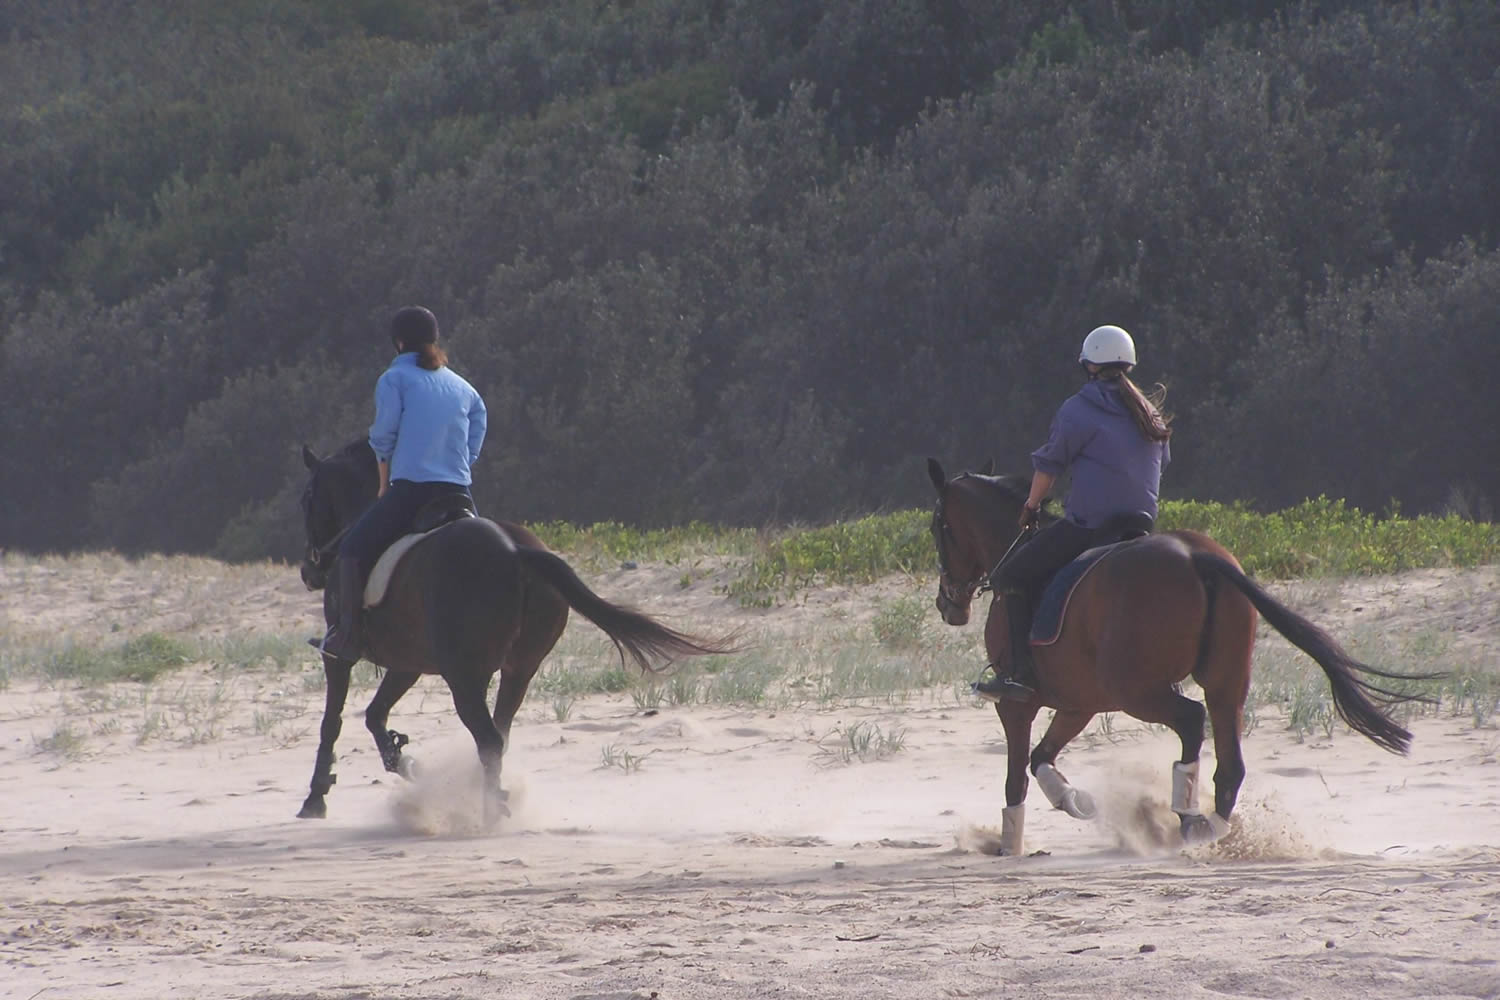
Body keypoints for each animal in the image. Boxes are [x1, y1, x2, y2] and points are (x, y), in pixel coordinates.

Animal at [295, 440, 735, 827]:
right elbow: (374, 715)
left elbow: (332, 722)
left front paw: (316, 798)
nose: (308, 571)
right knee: (497, 736)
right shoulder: (407, 664)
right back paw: (487, 802)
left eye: (307, 498)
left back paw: (491, 810)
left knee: (488, 737)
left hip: (464, 676)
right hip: (517, 670)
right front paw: (404, 761)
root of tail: (514, 550)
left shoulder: (339, 655)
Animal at [924, 458, 1428, 857]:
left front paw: (1010, 845)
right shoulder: (1079, 703)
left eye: (937, 527)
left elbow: (1017, 775)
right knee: (1228, 757)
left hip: (1138, 692)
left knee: (1190, 720)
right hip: (1224, 685)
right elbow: (1040, 757)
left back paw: (1188, 817)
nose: (948, 603)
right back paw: (1214, 826)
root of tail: (1196, 555)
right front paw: (1073, 800)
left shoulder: (1018, 704)